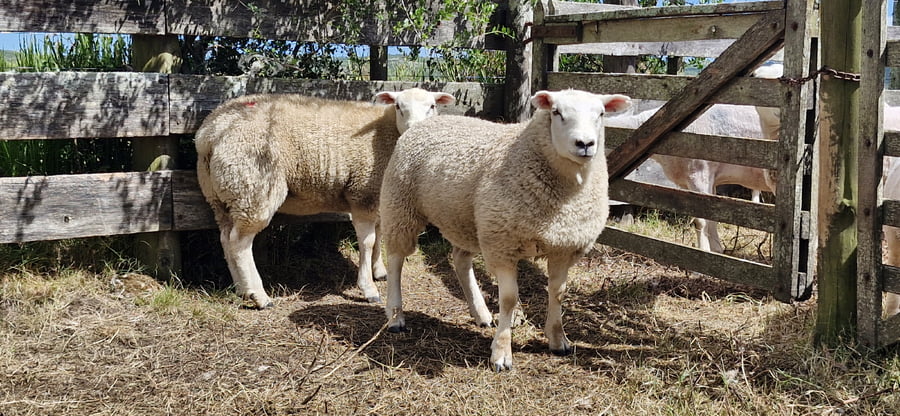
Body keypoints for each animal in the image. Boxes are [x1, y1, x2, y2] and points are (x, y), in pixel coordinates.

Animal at [195, 88, 455, 309]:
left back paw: (242, 289)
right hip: (253, 186)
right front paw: (368, 289)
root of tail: (208, 133)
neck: (387, 131)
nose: (415, 130)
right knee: (240, 243)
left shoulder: (379, 195)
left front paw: (379, 271)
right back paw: (259, 296)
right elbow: (368, 242)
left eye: (432, 106)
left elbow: (380, 234)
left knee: (226, 238)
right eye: (399, 106)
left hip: (223, 194)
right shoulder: (362, 193)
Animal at [379, 89, 632, 371]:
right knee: (396, 260)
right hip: (401, 206)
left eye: (601, 113)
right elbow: (509, 299)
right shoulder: (502, 244)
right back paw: (396, 316)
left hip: (463, 219)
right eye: (556, 112)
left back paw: (480, 313)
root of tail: (423, 124)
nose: (585, 144)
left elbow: (557, 293)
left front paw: (558, 340)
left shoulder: (564, 247)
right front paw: (501, 352)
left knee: (461, 261)